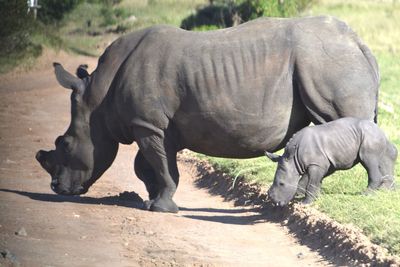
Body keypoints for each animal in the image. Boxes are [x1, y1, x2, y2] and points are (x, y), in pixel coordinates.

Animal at [36, 16, 380, 214]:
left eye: (65, 144)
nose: (56, 188)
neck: (98, 100)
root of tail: (359, 43)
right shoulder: (155, 126)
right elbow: (147, 165)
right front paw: (149, 201)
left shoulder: (148, 125)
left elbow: (160, 165)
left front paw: (162, 207)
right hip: (334, 61)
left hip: (329, 63)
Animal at [266, 118, 396, 207]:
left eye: (282, 183)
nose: (274, 201)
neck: (294, 158)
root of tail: (380, 130)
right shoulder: (322, 163)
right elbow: (310, 179)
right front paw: (305, 195)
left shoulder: (316, 164)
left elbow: (311, 182)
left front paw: (305, 203)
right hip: (372, 136)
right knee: (385, 157)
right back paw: (386, 190)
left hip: (370, 138)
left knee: (369, 160)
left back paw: (366, 193)